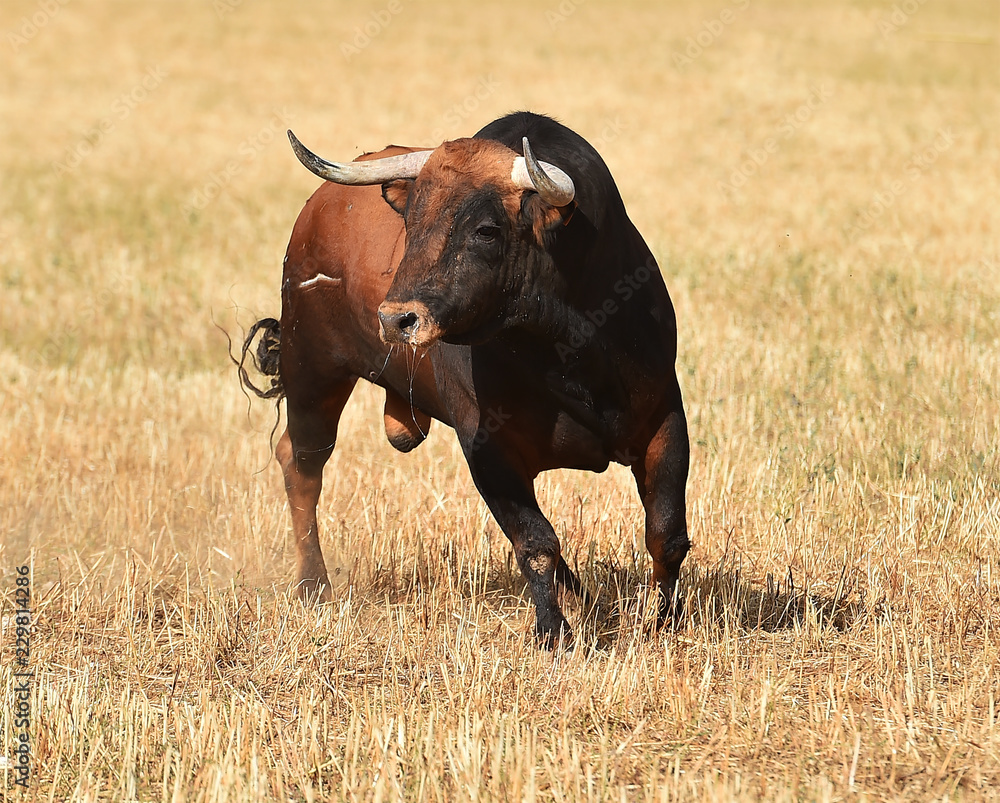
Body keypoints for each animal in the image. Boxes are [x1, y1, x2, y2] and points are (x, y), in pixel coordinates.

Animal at [246, 111, 692, 648]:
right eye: (412, 222)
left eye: (485, 230)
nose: (396, 319)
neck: (568, 348)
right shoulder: (486, 444)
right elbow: (535, 541)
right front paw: (554, 632)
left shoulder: (664, 418)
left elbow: (665, 533)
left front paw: (664, 622)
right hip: (312, 371)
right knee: (301, 465)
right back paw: (314, 585)